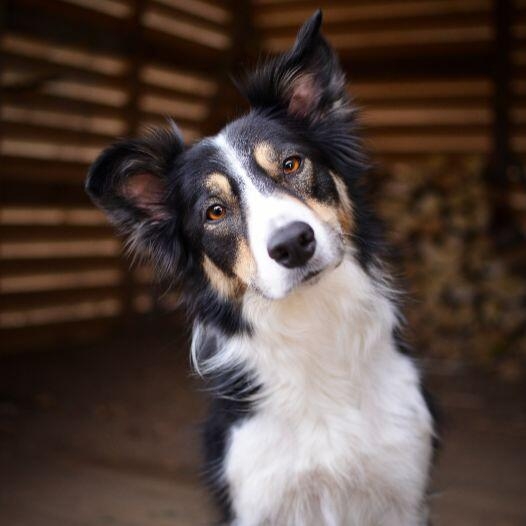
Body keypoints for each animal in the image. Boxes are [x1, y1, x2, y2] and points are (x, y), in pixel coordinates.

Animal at [87, 12, 438, 526]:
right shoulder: (259, 494)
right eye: (214, 212)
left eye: (291, 164)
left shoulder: (402, 486)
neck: (315, 330)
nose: (293, 244)